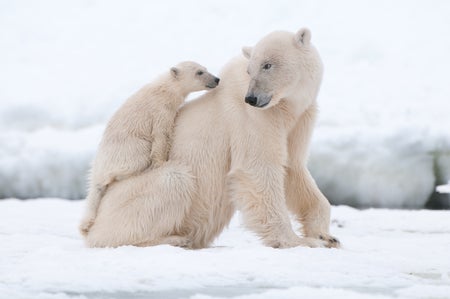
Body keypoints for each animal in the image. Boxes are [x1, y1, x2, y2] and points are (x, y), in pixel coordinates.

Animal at [79, 62, 220, 238]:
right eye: (199, 72)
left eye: (205, 69)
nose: (216, 79)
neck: (165, 89)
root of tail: (98, 168)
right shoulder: (160, 110)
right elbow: (161, 135)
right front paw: (161, 163)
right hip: (128, 149)